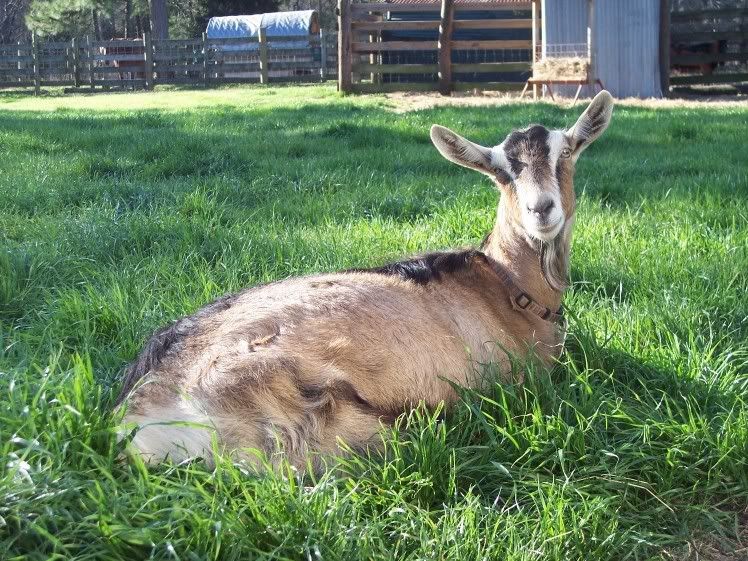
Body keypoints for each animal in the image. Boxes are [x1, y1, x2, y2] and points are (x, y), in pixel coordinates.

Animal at [116, 91, 614, 470]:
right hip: (311, 420)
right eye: (501, 173)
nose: (541, 209)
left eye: (565, 153)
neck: (507, 286)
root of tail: (137, 412)